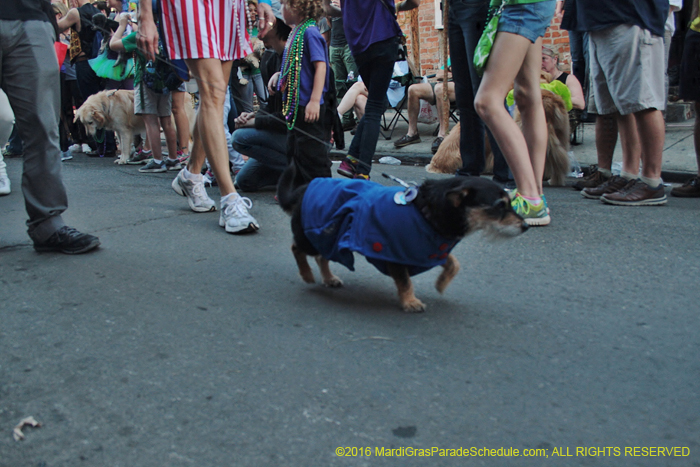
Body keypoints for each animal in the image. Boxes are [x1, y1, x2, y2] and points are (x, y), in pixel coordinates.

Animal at [276, 170, 528, 312]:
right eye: (499, 205)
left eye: (509, 203)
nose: (525, 226)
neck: (427, 211)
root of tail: (304, 188)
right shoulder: (393, 253)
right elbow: (406, 281)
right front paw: (410, 302)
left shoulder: (430, 249)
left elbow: (454, 264)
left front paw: (441, 283)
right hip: (310, 236)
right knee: (296, 248)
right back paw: (307, 274)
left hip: (329, 237)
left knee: (322, 256)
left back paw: (328, 278)